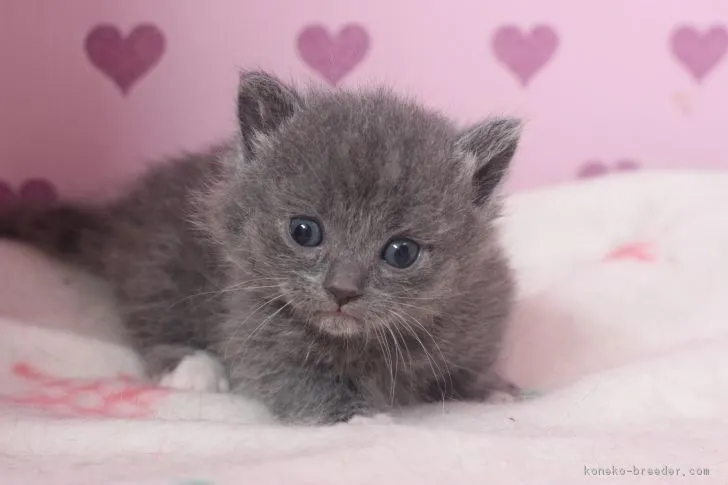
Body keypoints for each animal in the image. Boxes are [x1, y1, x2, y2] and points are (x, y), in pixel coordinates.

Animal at [0, 72, 524, 424]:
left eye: (402, 252)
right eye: (304, 231)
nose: (342, 290)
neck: (371, 341)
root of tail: (120, 215)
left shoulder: (480, 308)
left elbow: (467, 369)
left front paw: (493, 391)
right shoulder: (255, 328)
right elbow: (295, 381)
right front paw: (364, 419)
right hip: (159, 266)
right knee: (150, 321)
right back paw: (192, 367)